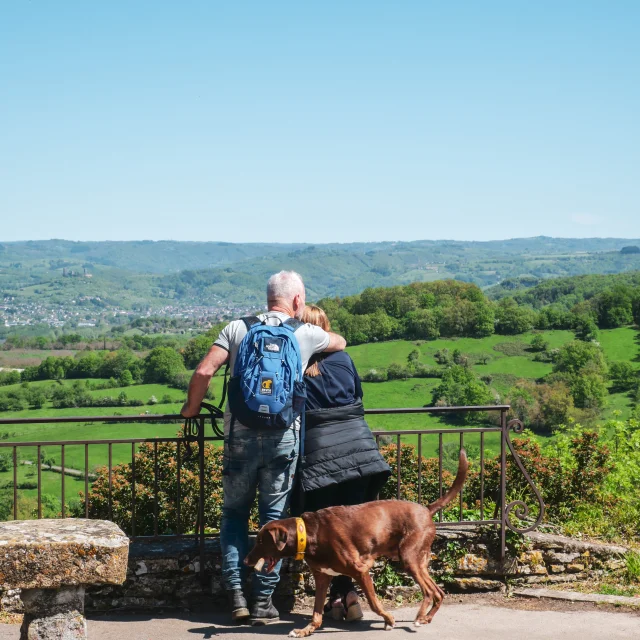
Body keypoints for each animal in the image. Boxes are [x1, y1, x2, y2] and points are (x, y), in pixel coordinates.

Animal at [242, 450, 468, 636]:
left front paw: (389, 619)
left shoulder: (360, 570)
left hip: (408, 558)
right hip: (418, 561)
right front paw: (305, 630)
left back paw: (420, 617)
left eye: (261, 541)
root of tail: (426, 510)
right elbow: (316, 612)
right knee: (438, 591)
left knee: (429, 592)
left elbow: (374, 603)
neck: (310, 533)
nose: (245, 561)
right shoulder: (322, 577)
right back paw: (427, 617)